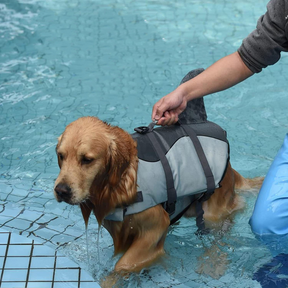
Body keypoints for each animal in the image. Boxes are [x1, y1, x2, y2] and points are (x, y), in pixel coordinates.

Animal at [53, 116, 264, 280]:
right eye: (61, 156)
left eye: (87, 160)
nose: (61, 190)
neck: (121, 184)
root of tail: (230, 167)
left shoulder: (155, 225)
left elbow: (123, 265)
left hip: (213, 211)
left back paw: (213, 261)